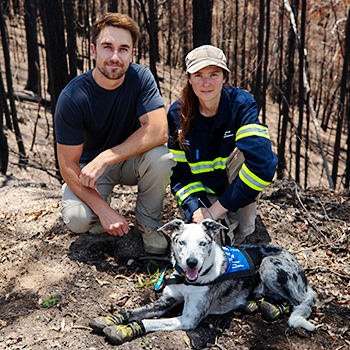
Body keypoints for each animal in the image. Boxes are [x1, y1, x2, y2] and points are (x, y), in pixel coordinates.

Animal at [89, 219, 316, 344]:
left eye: (203, 243)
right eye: (181, 242)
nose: (192, 262)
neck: (187, 281)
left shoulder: (189, 318)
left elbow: (149, 321)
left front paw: (128, 329)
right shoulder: (166, 300)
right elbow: (135, 311)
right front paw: (114, 319)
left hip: (269, 265)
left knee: (301, 301)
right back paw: (258, 304)